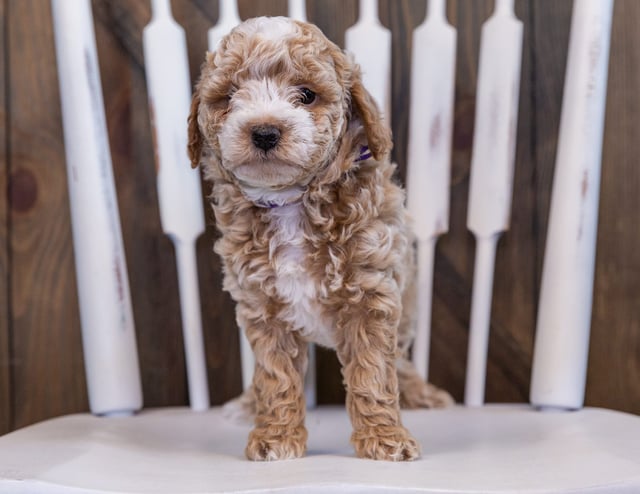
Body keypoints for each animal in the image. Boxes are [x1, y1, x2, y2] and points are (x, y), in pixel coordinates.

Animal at [188, 16, 452, 464]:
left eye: (307, 95)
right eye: (229, 97)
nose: (264, 131)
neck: (292, 202)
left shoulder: (372, 294)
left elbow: (374, 374)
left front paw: (385, 438)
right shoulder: (262, 305)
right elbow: (274, 376)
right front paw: (276, 437)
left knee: (401, 359)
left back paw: (422, 393)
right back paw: (247, 403)